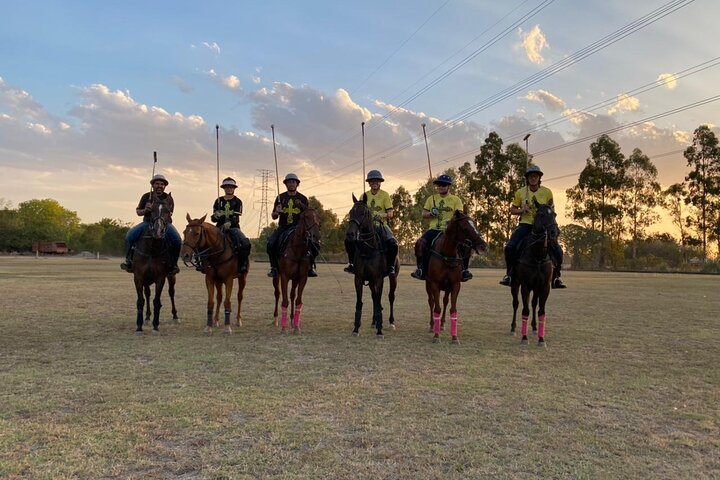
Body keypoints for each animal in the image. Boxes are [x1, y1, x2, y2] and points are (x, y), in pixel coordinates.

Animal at [132, 193, 179, 336]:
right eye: (151, 210)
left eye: (168, 211)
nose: (158, 232)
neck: (152, 248)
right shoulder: (138, 276)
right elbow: (140, 300)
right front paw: (139, 326)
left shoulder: (160, 277)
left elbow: (157, 301)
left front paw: (155, 326)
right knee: (147, 293)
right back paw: (147, 317)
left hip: (171, 276)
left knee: (171, 292)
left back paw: (175, 316)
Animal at [272, 208, 320, 336]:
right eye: (306, 217)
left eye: (318, 217)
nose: (316, 236)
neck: (297, 249)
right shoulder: (284, 276)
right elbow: (284, 301)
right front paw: (283, 328)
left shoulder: (302, 277)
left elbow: (298, 300)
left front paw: (297, 327)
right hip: (277, 276)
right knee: (277, 294)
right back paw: (275, 319)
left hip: (295, 279)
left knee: (292, 295)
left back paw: (293, 320)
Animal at [344, 194, 396, 338]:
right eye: (351, 212)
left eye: (363, 213)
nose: (350, 234)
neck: (368, 249)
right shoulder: (359, 279)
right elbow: (359, 303)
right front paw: (356, 328)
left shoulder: (379, 279)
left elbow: (379, 302)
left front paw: (380, 331)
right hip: (371, 281)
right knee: (374, 297)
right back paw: (374, 322)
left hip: (392, 277)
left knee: (390, 297)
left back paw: (390, 322)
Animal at [424, 209, 486, 342]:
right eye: (465, 228)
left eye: (475, 225)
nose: (483, 246)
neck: (447, 254)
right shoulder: (435, 284)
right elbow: (436, 308)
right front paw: (436, 336)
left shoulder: (455, 285)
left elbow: (453, 309)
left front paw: (454, 337)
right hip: (428, 283)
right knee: (431, 302)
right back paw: (432, 325)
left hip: (447, 287)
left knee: (445, 301)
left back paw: (442, 324)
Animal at [510, 198, 560, 344]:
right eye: (541, 214)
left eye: (554, 214)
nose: (554, 232)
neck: (537, 255)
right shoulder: (525, 285)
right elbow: (524, 310)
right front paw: (524, 338)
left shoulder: (544, 286)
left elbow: (541, 311)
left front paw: (541, 339)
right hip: (515, 283)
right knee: (515, 303)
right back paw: (513, 328)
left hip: (536, 287)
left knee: (533, 304)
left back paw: (534, 327)